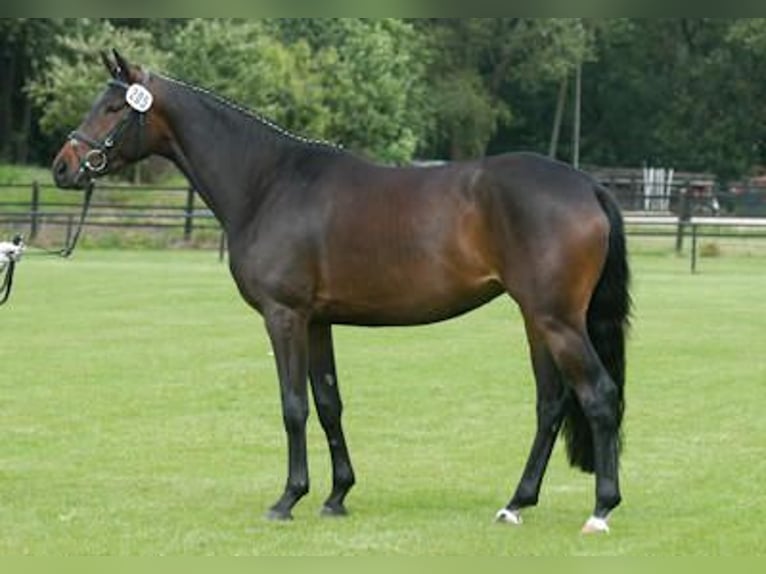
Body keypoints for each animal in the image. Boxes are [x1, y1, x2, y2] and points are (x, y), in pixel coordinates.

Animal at [52, 50, 632, 536]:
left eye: (111, 108)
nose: (63, 166)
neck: (268, 183)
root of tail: (589, 186)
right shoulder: (317, 321)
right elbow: (329, 403)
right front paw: (336, 496)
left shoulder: (284, 316)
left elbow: (293, 406)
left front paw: (287, 499)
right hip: (537, 319)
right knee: (551, 404)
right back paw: (515, 503)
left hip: (556, 320)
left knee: (599, 396)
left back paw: (601, 509)